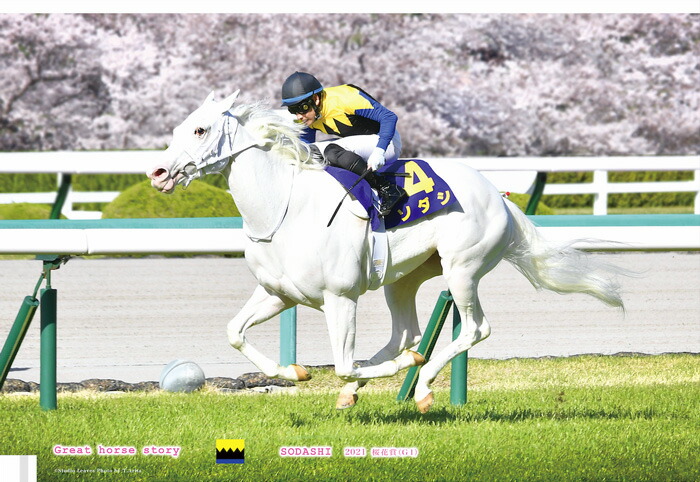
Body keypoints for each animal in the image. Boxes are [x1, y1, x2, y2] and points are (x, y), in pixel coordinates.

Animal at [148, 91, 625, 413]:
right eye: (175, 129)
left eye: (200, 129)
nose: (157, 173)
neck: (284, 209)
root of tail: (499, 195)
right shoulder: (278, 294)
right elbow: (235, 332)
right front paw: (294, 372)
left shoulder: (340, 298)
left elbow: (344, 363)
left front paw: (380, 374)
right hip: (404, 279)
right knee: (407, 335)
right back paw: (379, 377)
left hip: (462, 269)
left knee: (473, 329)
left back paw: (423, 383)